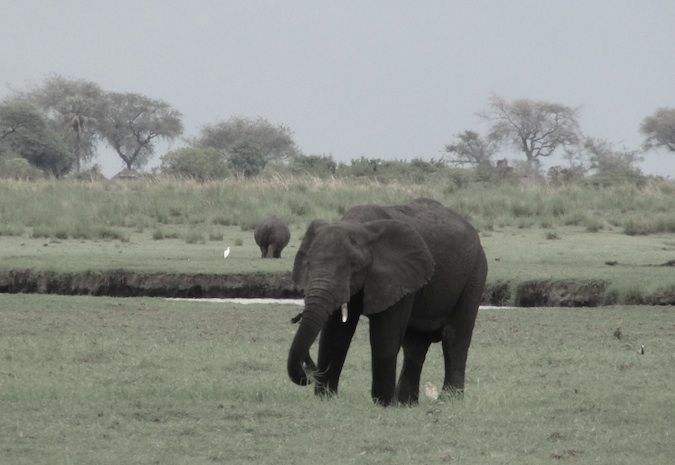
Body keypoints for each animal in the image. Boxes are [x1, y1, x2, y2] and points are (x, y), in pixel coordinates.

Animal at [288, 198, 488, 404]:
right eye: (308, 264)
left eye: (354, 266)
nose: (308, 375)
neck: (359, 226)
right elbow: (336, 333)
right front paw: (326, 398)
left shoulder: (399, 275)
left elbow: (385, 335)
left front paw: (382, 403)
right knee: (415, 344)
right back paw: (406, 403)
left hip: (475, 274)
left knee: (454, 337)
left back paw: (447, 400)